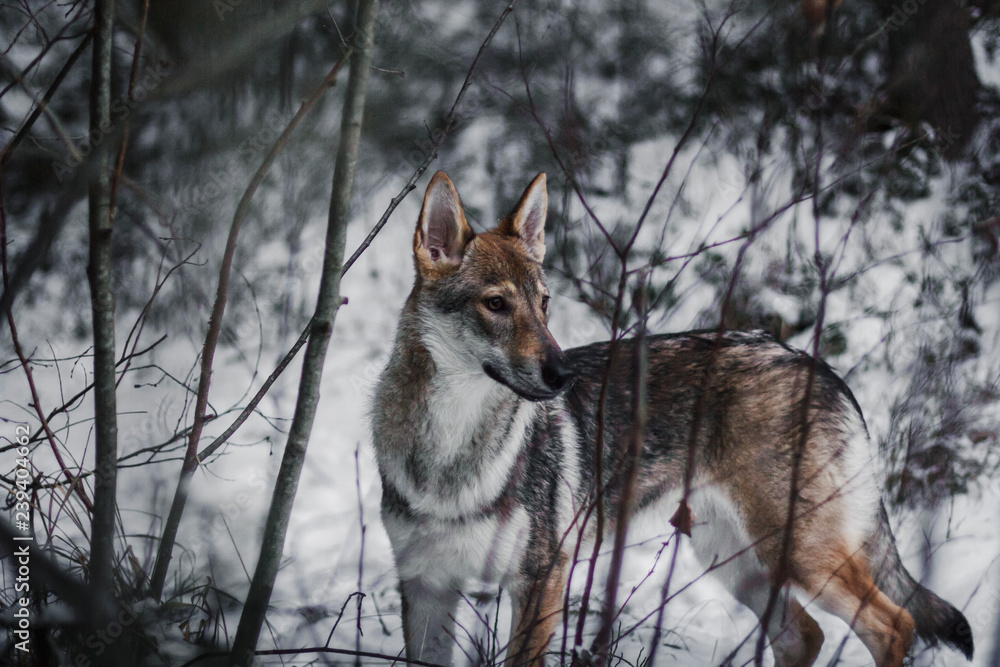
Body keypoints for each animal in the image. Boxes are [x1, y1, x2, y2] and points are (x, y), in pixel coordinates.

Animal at [370, 172, 974, 666]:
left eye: (543, 304)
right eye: (496, 304)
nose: (564, 373)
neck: (450, 453)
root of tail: (811, 360)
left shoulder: (540, 581)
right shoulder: (425, 590)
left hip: (799, 555)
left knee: (894, 624)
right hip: (736, 563)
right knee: (805, 636)